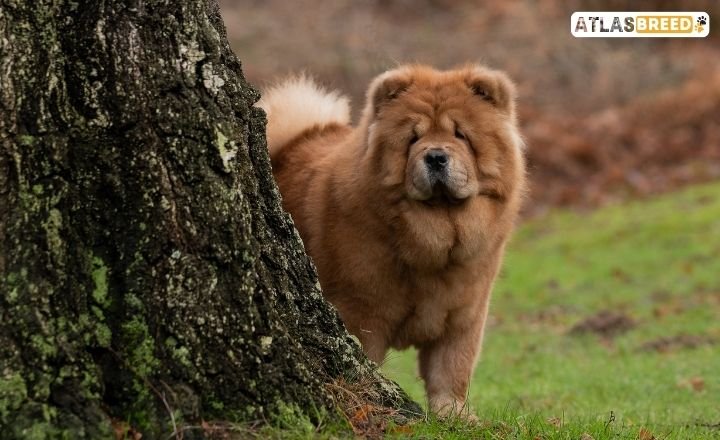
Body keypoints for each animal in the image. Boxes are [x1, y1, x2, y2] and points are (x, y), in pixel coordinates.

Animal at [258, 64, 524, 416]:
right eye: (414, 138)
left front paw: (454, 415)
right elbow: (365, 359)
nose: (435, 156)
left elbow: (452, 369)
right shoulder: (361, 311)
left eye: (460, 135)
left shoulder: (465, 314)